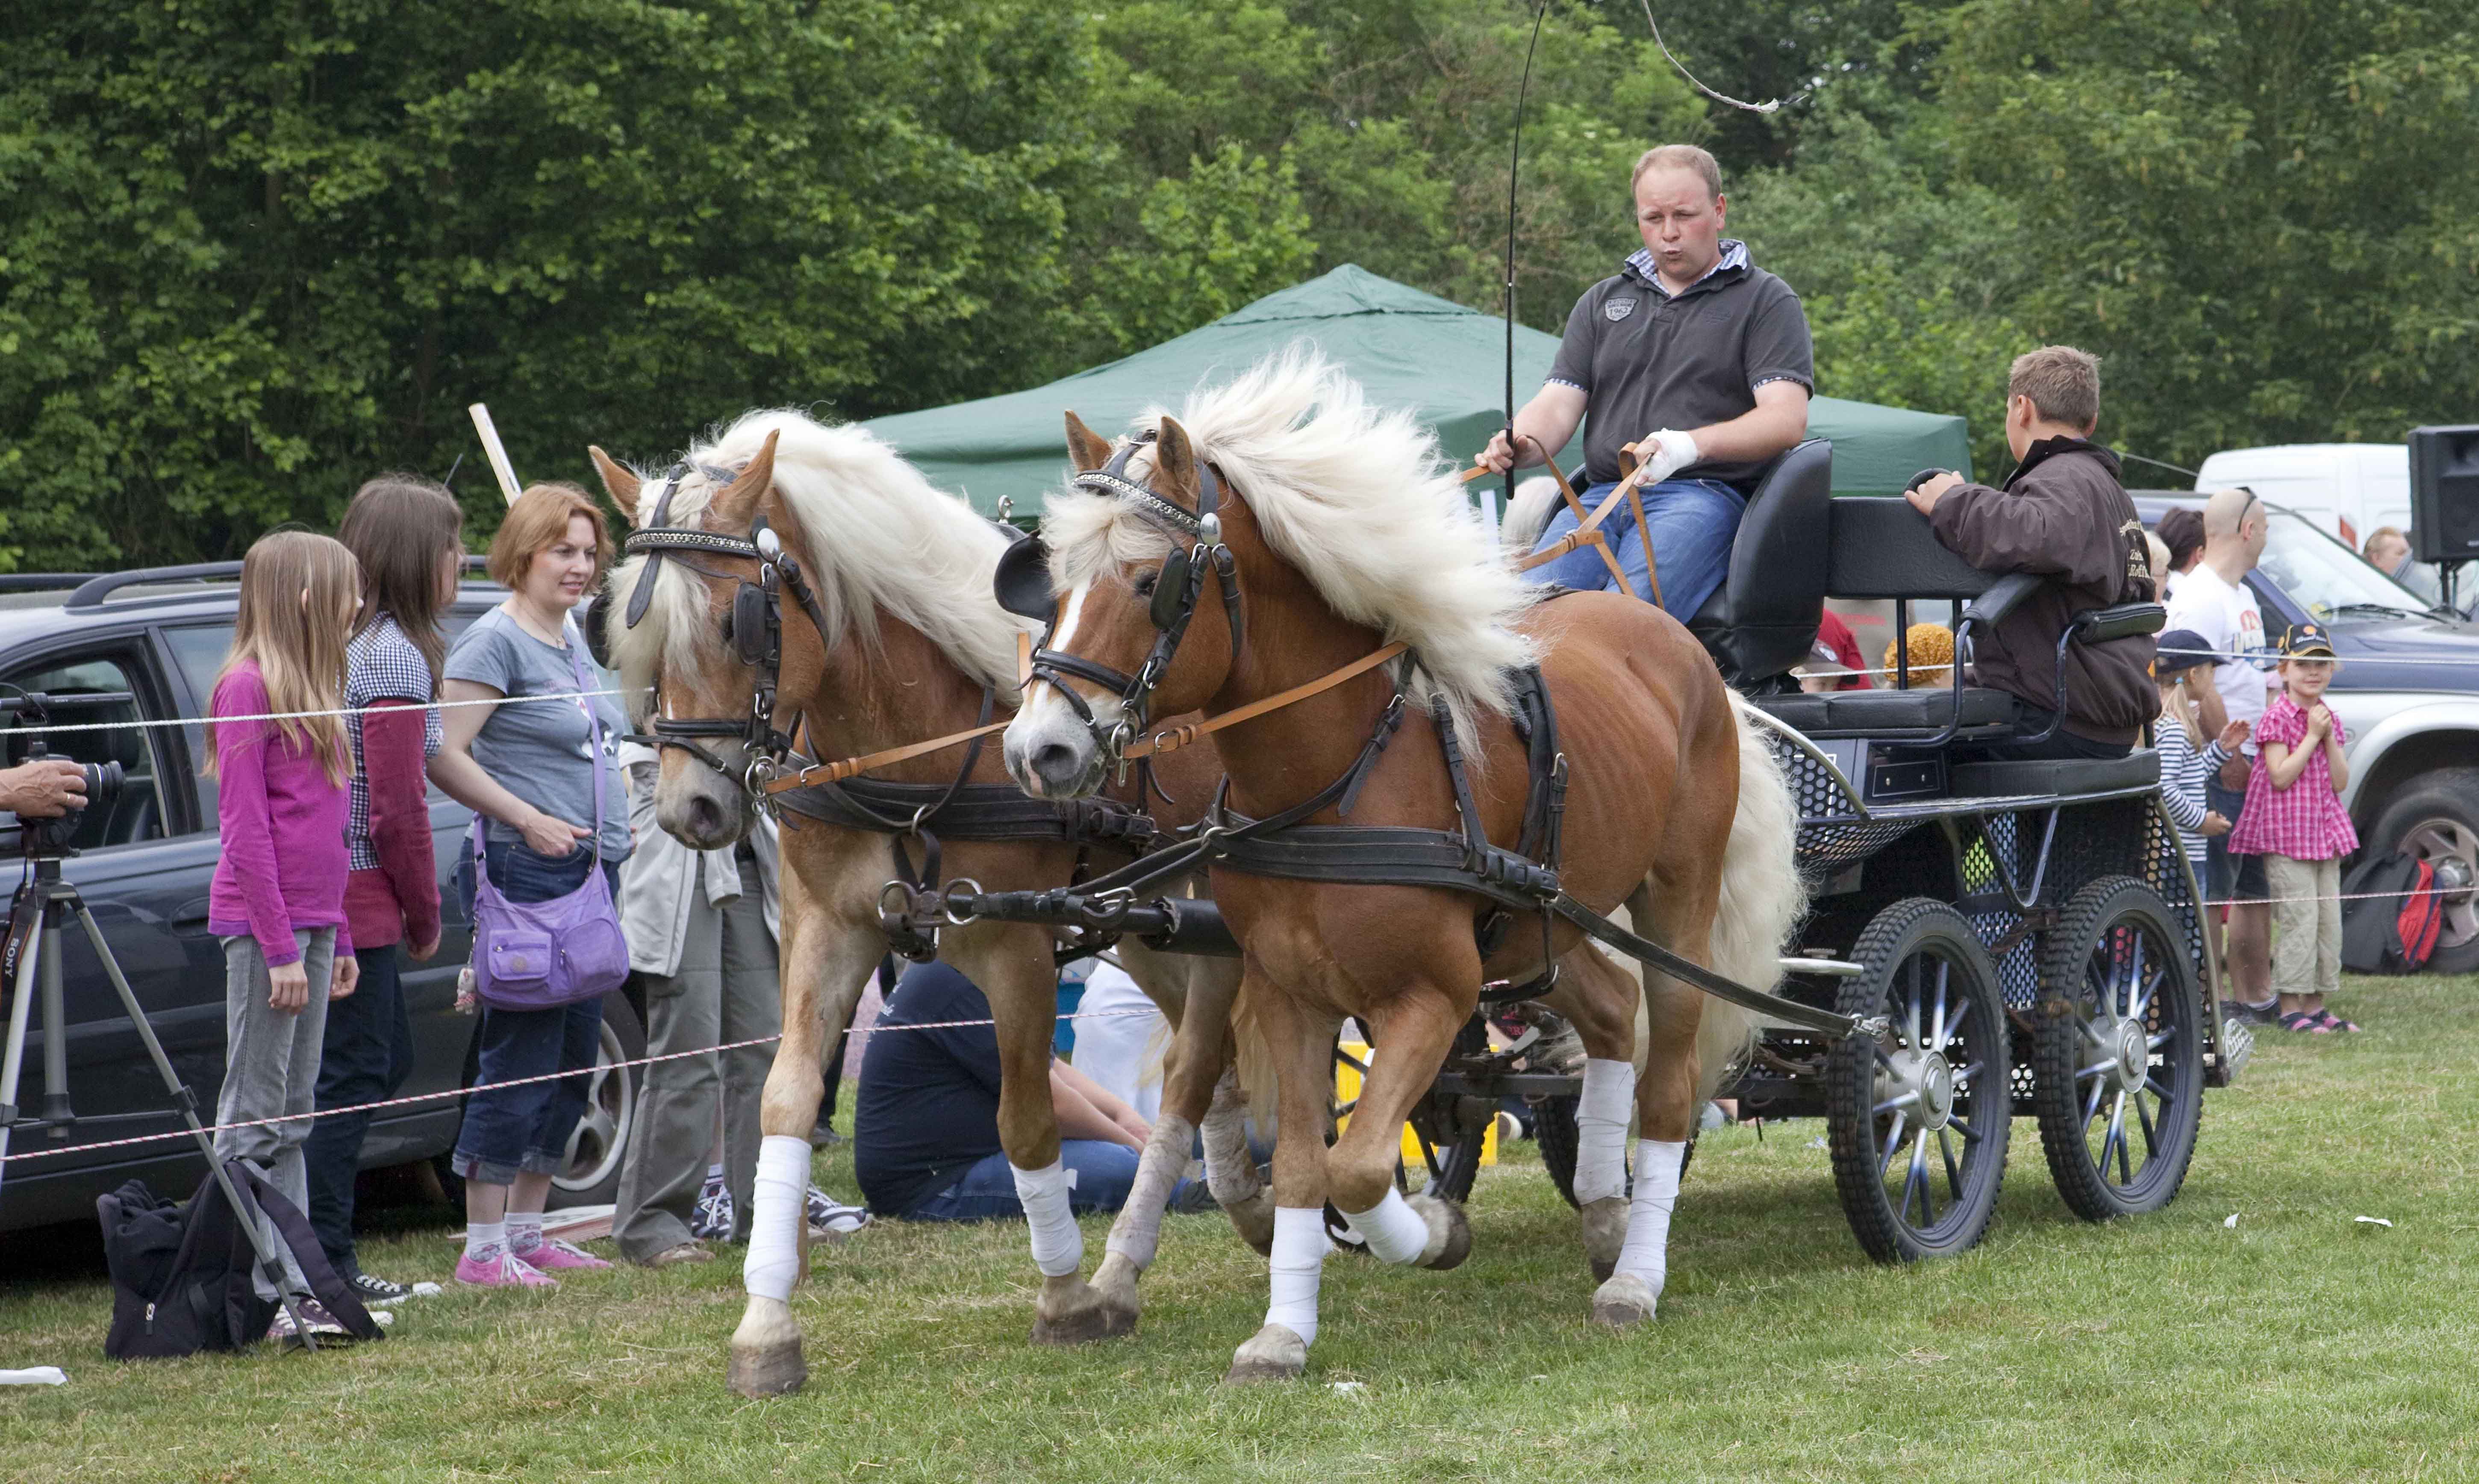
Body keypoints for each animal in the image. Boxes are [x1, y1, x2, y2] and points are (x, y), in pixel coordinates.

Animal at [592, 411, 1269, 1397]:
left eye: (736, 621)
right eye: (632, 632)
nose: (692, 810)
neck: (909, 745)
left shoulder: (1011, 947)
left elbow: (1024, 1122)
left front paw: (1063, 1296)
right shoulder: (825, 929)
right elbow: (786, 1103)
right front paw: (766, 1327)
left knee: (1193, 1062)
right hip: (1149, 915)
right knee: (1206, 1054)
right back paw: (1242, 1203)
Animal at [1001, 354, 1805, 1387]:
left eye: (1150, 583)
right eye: (1054, 581)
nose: (1040, 751)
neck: (1336, 780)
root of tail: (1683, 646)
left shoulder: (1436, 993)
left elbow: (1357, 1164)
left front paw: (1427, 1229)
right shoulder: (1289, 994)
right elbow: (1309, 1163)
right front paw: (1284, 1331)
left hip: (1675, 907)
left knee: (1666, 1082)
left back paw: (1635, 1274)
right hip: (1547, 921)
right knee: (1605, 1014)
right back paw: (1602, 1211)